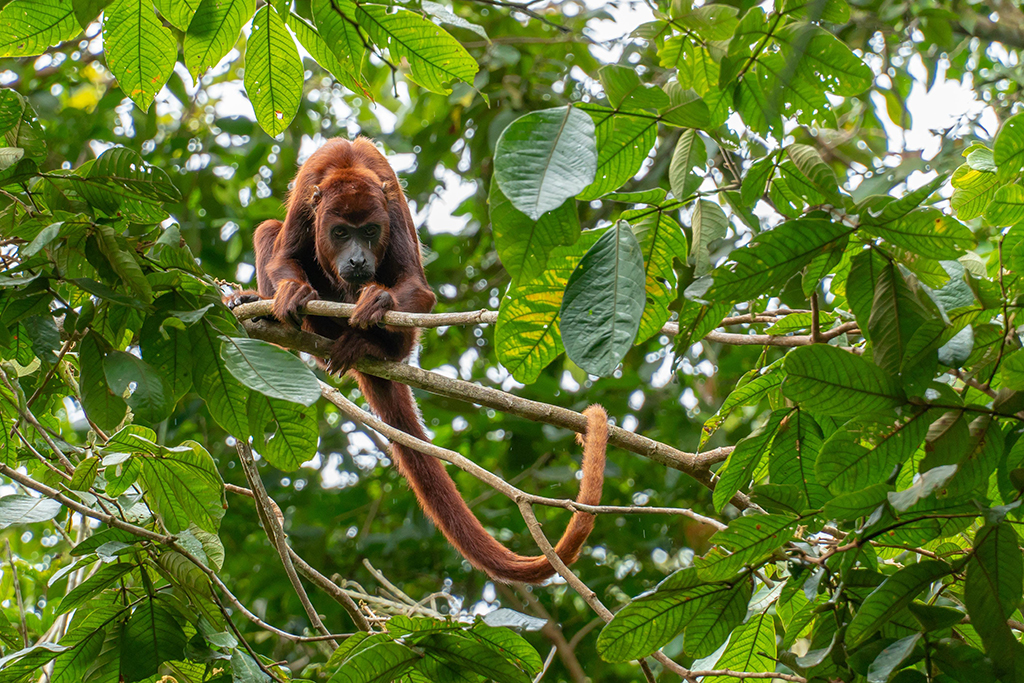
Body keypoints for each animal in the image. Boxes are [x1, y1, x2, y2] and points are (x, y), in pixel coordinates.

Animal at [228, 137, 602, 581]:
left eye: (369, 232)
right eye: (340, 233)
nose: (358, 259)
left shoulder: (389, 209)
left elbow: (418, 289)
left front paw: (379, 302)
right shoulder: (307, 200)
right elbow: (284, 258)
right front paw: (291, 294)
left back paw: (366, 344)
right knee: (268, 229)